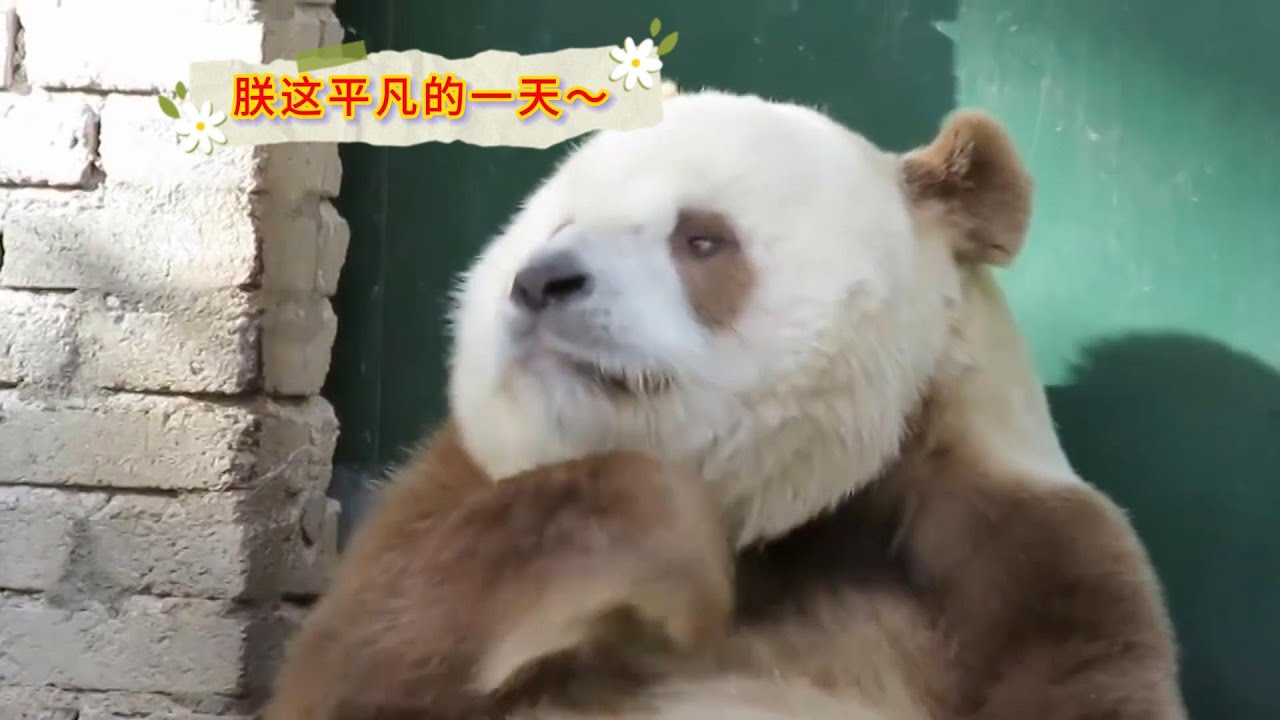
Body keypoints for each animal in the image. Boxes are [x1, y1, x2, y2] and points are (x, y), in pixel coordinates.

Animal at [261, 84, 1188, 720]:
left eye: (701, 238)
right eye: (556, 226)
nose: (542, 283)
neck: (788, 519)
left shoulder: (1021, 554)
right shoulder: (454, 493)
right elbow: (363, 654)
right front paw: (675, 560)